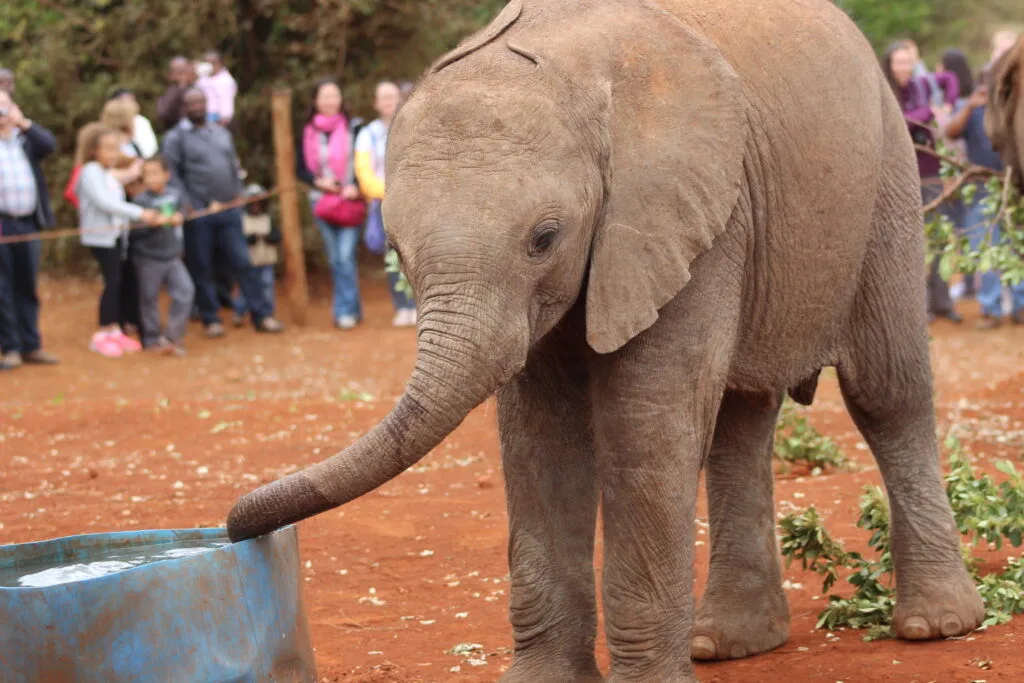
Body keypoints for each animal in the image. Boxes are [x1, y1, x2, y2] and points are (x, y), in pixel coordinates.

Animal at [227, 0, 986, 680]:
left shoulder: (682, 211)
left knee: (887, 393)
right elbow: (541, 437)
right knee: (739, 419)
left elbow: (643, 423)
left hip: (889, 179)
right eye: (397, 252)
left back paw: (935, 625)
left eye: (544, 238)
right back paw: (728, 642)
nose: (235, 526)